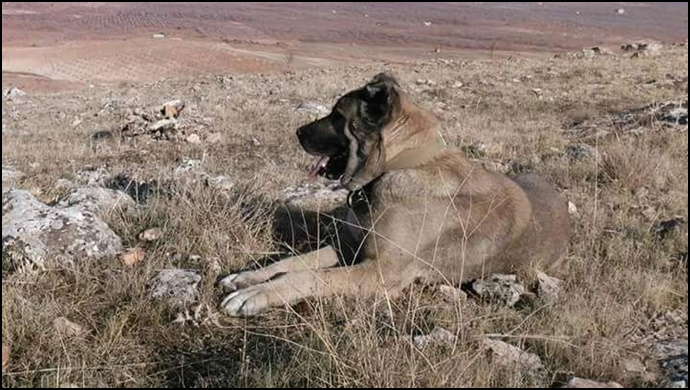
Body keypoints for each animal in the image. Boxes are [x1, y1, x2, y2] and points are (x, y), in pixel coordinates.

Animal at [219, 72, 564, 316]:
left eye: (337, 116)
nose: (298, 132)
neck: (398, 164)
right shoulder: (349, 246)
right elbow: (294, 262)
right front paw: (248, 277)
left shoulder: (382, 272)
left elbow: (310, 276)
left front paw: (256, 295)